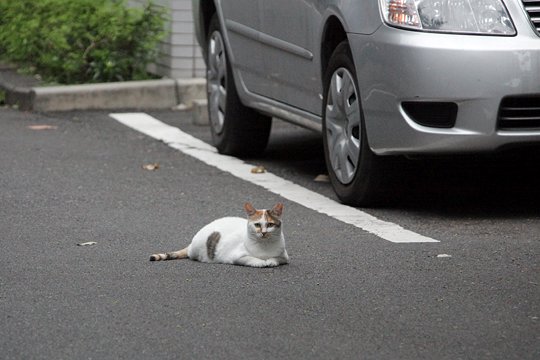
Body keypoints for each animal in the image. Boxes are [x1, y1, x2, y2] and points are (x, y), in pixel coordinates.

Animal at [150, 202, 288, 268]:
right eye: (257, 225)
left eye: (270, 224)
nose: (263, 232)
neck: (264, 246)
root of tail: (191, 243)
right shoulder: (237, 256)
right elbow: (250, 259)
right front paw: (260, 262)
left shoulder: (285, 257)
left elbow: (277, 258)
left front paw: (270, 261)